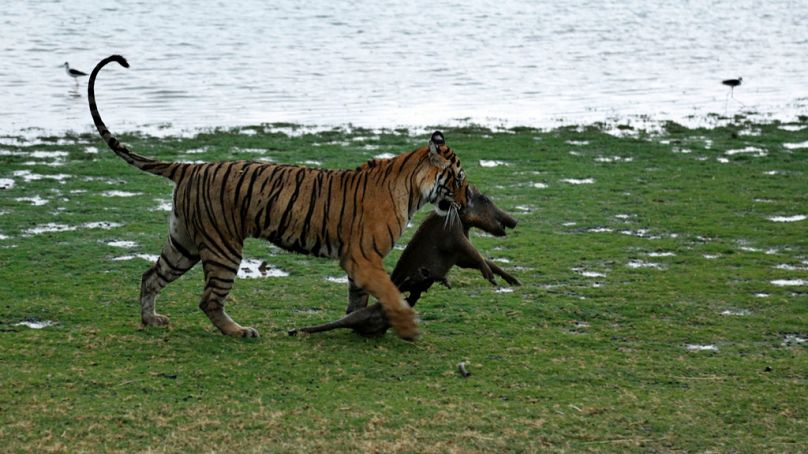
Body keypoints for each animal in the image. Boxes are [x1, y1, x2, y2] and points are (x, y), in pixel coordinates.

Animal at [88, 55, 469, 341]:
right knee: (208, 299)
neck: (412, 187)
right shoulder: (363, 257)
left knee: (150, 276)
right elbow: (388, 291)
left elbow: (358, 298)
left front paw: (358, 324)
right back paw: (239, 331)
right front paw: (406, 326)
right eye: (460, 178)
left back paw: (151, 320)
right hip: (223, 247)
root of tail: (190, 167)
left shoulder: (358, 262)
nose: (466, 203)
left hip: (184, 244)